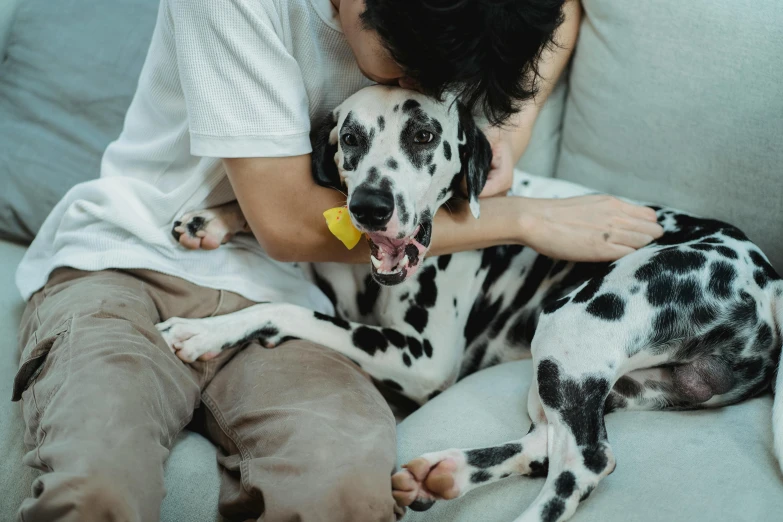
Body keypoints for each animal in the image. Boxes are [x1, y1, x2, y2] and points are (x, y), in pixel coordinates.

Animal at [159, 85, 783, 520]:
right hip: (582, 376)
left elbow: (289, 310)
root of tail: (769, 279)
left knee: (583, 463)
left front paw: (209, 329)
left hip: (568, 331)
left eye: (423, 136)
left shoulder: (420, 358)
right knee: (550, 447)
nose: (370, 206)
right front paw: (214, 218)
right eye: (351, 138)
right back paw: (445, 473)